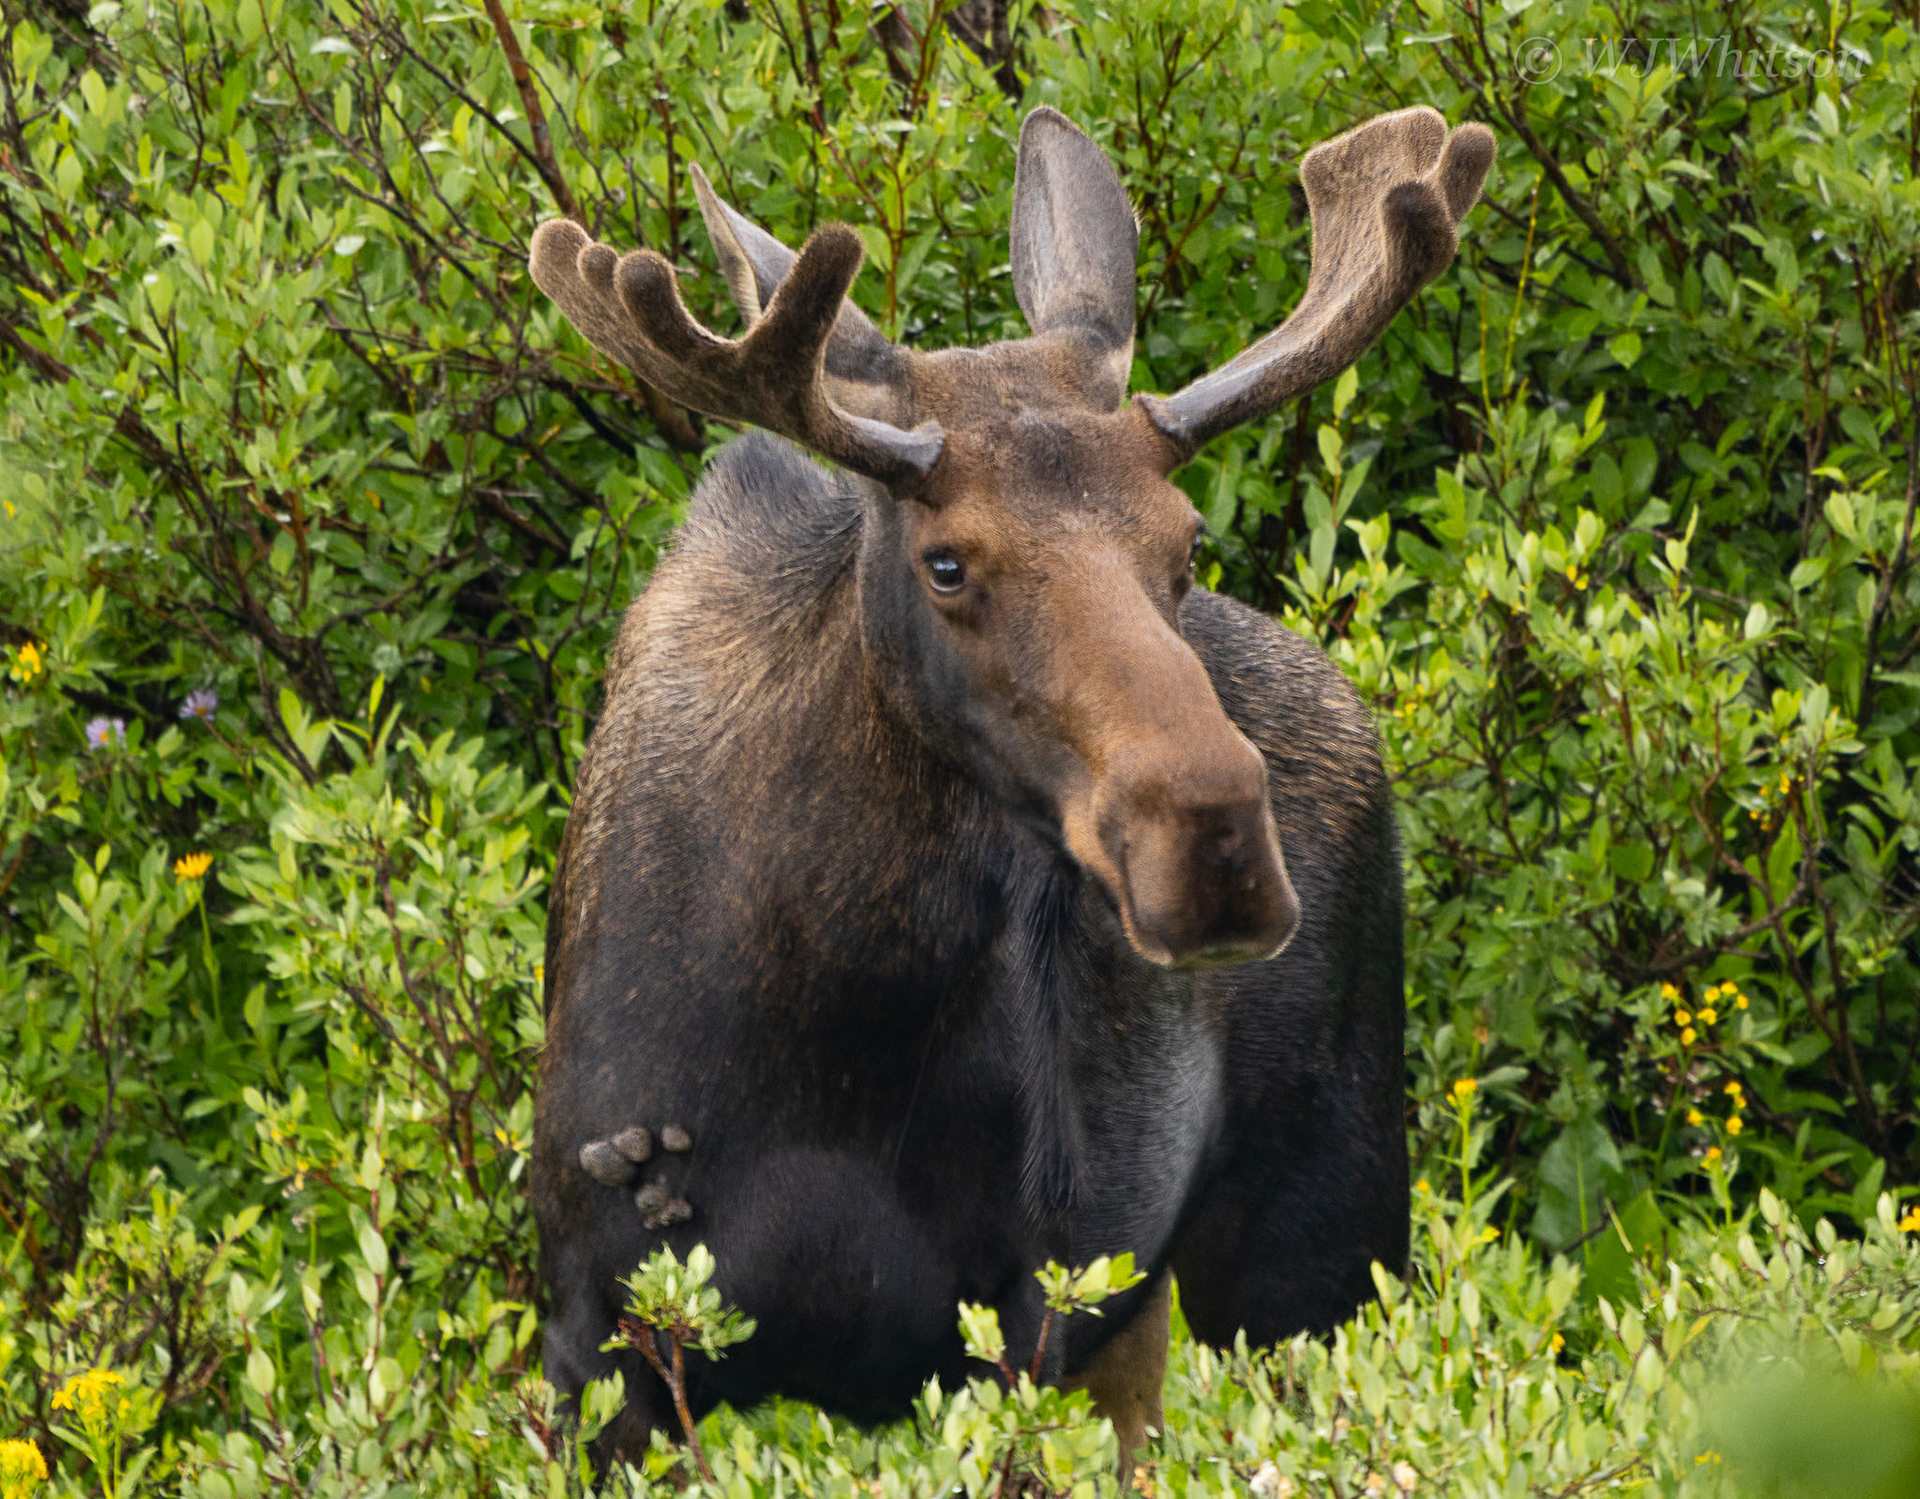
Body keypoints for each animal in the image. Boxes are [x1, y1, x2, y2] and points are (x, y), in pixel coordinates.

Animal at [528, 103, 1492, 1467]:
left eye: (1186, 540)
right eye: (945, 561)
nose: (1216, 842)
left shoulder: (1021, 1320)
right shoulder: (600, 1338)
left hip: (1317, 1248)